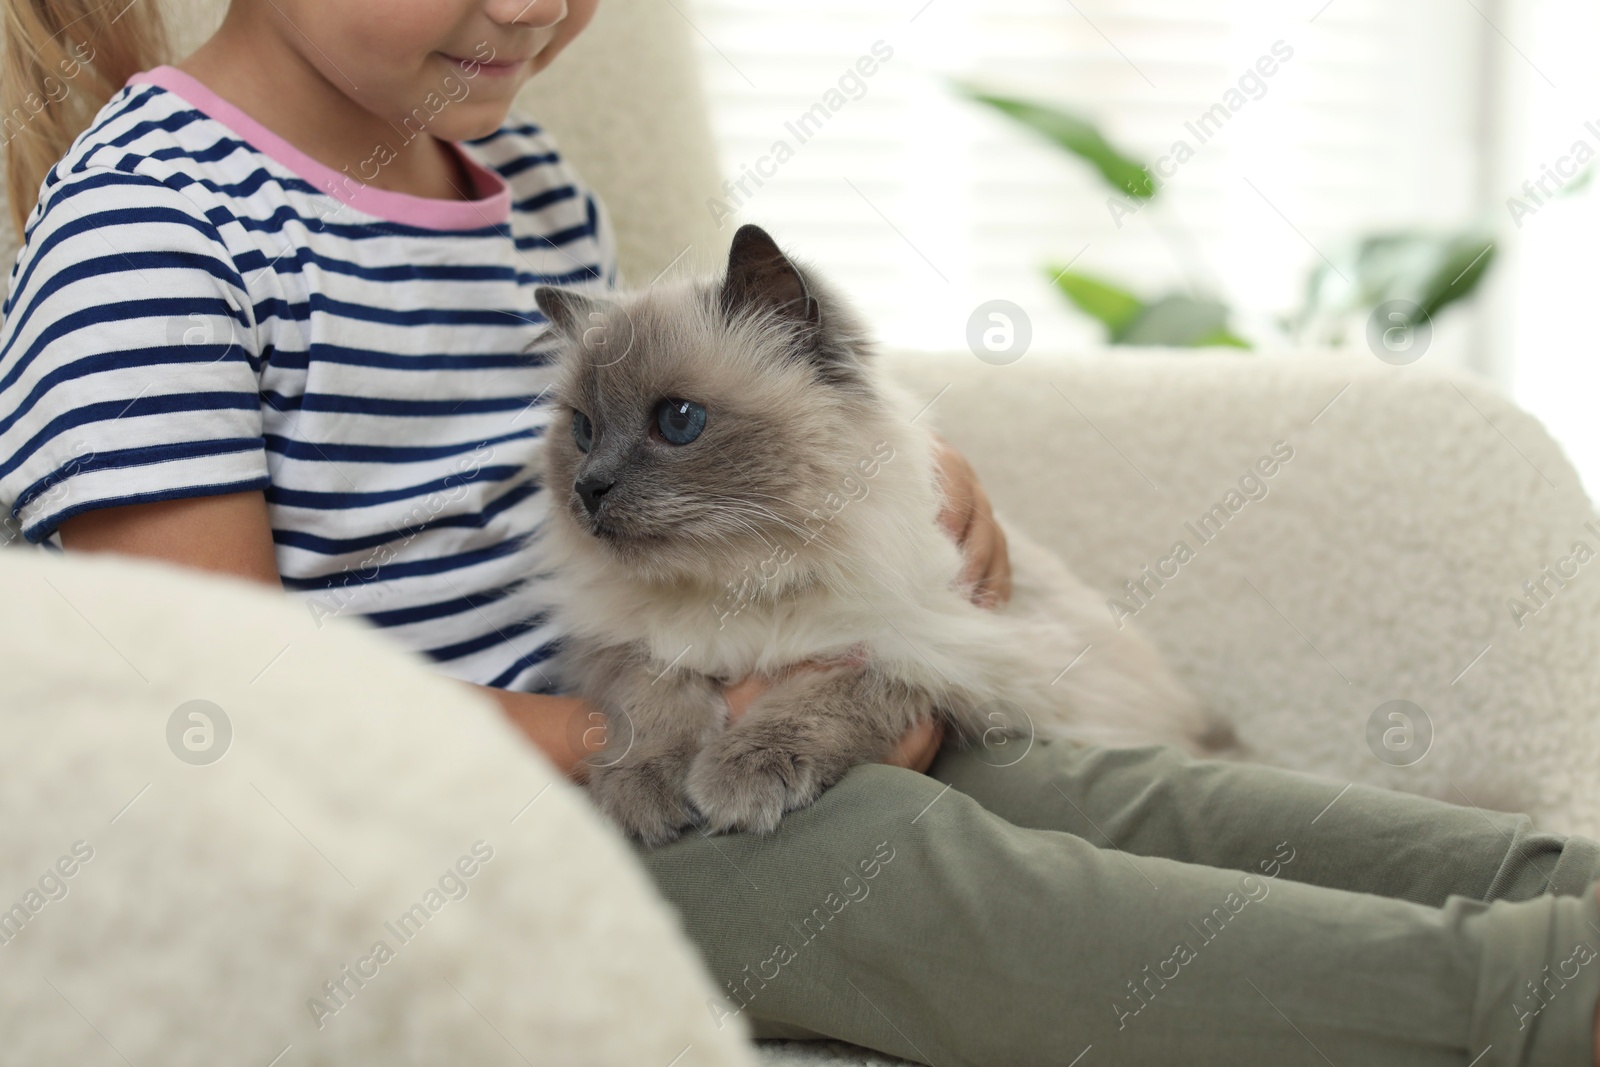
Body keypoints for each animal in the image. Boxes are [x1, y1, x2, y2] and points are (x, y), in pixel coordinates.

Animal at [531, 223, 1228, 844]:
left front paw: (737, 778)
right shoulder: (628, 645)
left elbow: (816, 703)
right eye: (584, 431)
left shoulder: (917, 652)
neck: (746, 578)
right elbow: (653, 706)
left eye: (679, 421)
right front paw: (640, 794)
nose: (588, 489)